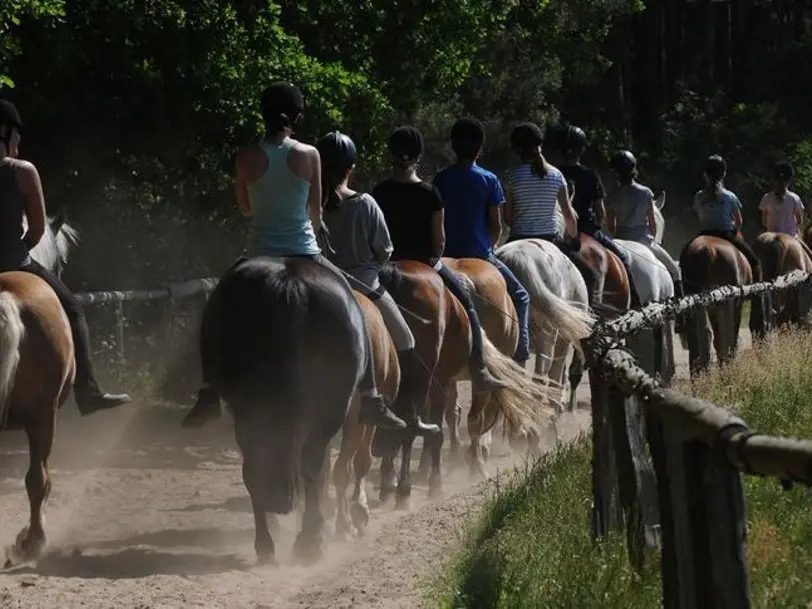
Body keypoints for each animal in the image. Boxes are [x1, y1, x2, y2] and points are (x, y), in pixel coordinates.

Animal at [197, 256, 374, 564]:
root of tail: (289, 281)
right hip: (327, 411)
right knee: (311, 468)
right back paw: (309, 541)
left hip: (252, 415)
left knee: (260, 470)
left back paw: (271, 544)